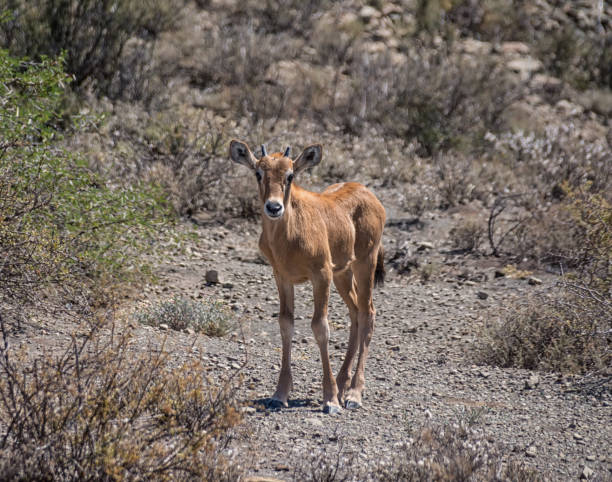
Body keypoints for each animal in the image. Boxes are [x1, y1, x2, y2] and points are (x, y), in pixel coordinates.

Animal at [230, 140, 382, 414]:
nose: (274, 207)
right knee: (355, 312)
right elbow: (286, 324)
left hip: (365, 264)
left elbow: (320, 327)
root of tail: (368, 194)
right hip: (343, 274)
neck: (289, 236)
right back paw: (342, 383)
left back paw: (353, 394)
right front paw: (279, 394)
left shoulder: (320, 275)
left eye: (290, 175)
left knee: (368, 313)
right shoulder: (282, 277)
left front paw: (330, 400)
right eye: (258, 173)